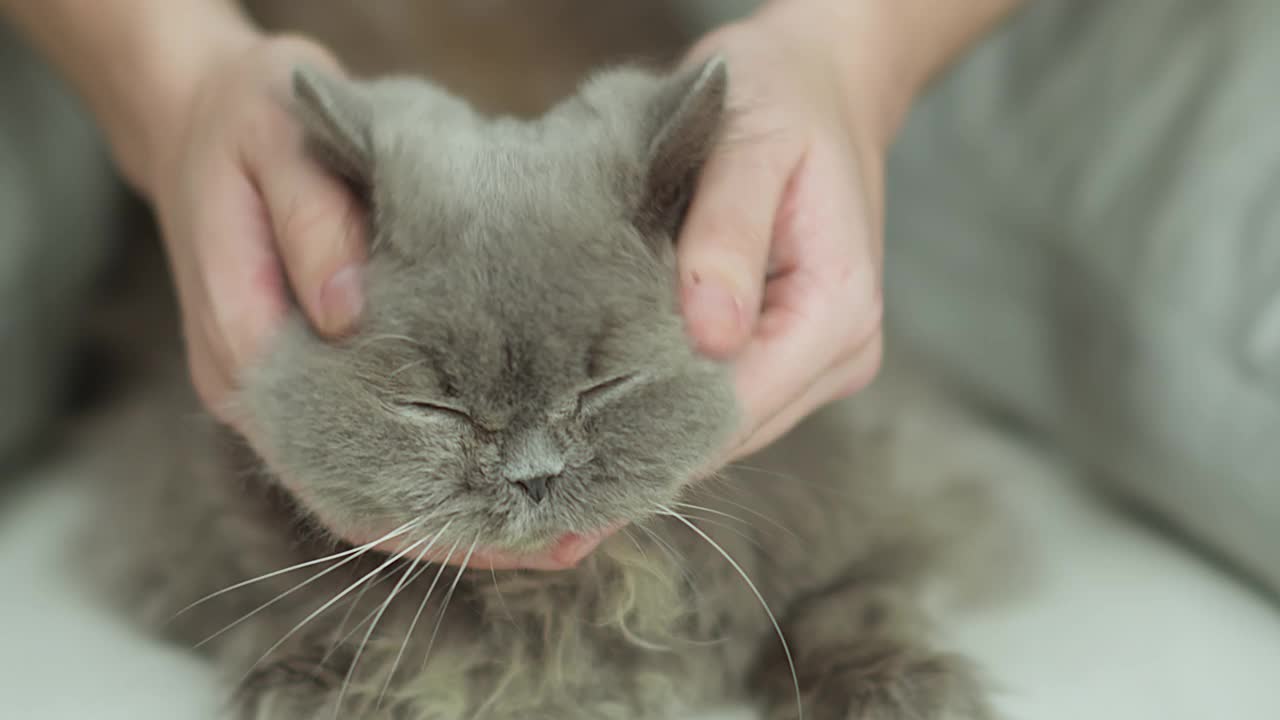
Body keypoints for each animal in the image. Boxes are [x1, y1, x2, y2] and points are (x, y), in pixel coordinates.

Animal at [85, 56, 1013, 717]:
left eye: (602, 388)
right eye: (437, 407)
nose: (533, 475)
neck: (565, 594)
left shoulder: (884, 493)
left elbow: (852, 600)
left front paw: (899, 689)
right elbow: (318, 614)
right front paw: (312, 684)